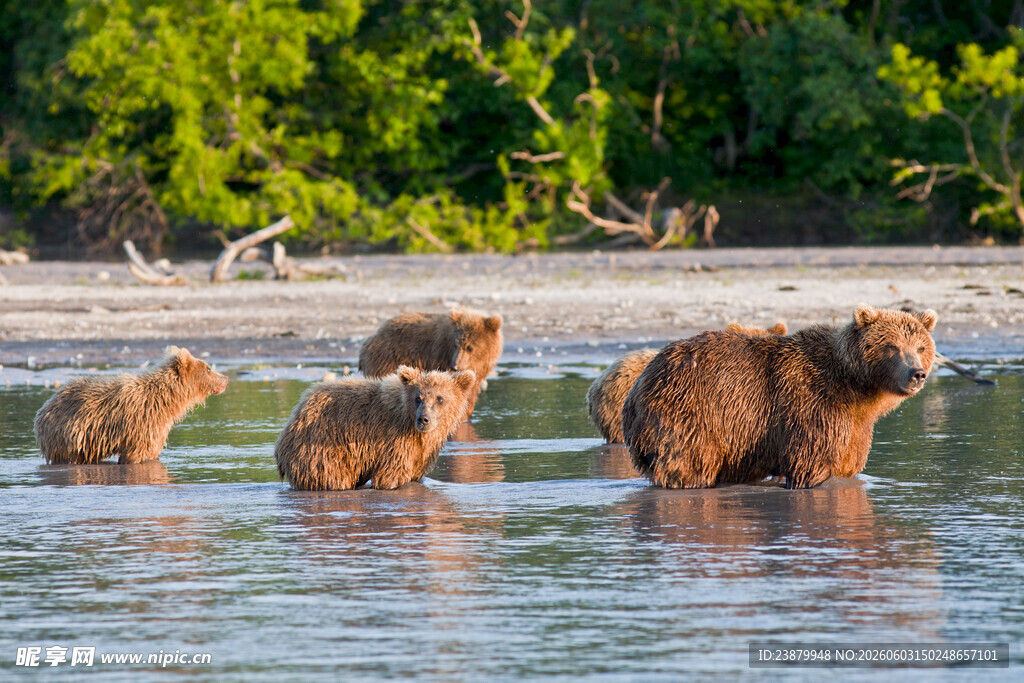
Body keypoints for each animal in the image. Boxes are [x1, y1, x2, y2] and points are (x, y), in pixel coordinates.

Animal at [34, 346, 229, 464]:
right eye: (209, 368)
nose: (226, 379)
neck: (167, 401)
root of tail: (44, 409)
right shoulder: (143, 422)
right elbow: (138, 454)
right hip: (71, 435)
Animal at [274, 366, 476, 491]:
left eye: (440, 398)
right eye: (418, 398)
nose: (423, 419)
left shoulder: (421, 453)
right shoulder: (394, 441)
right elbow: (391, 477)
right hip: (321, 449)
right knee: (333, 477)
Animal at [358, 308, 502, 418]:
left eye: (470, 347)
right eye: (456, 344)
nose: (454, 366)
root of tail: (369, 340)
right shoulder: (441, 358)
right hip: (388, 360)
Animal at [621, 305, 937, 489]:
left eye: (921, 347)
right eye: (892, 345)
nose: (917, 373)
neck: (855, 388)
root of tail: (639, 386)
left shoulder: (854, 426)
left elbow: (848, 464)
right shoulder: (813, 408)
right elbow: (812, 466)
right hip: (693, 413)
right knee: (690, 465)